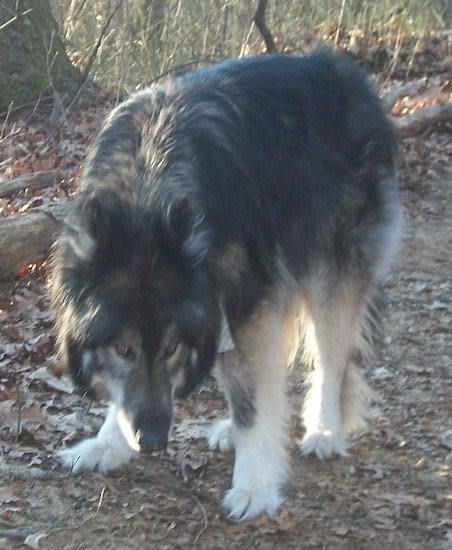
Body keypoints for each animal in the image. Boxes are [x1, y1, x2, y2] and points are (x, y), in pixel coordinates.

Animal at [50, 51, 402, 520]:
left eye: (172, 347)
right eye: (122, 348)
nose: (154, 440)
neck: (150, 187)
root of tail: (357, 81)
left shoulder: (247, 301)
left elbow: (254, 397)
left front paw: (254, 486)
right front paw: (107, 444)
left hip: (331, 274)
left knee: (329, 363)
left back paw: (324, 433)